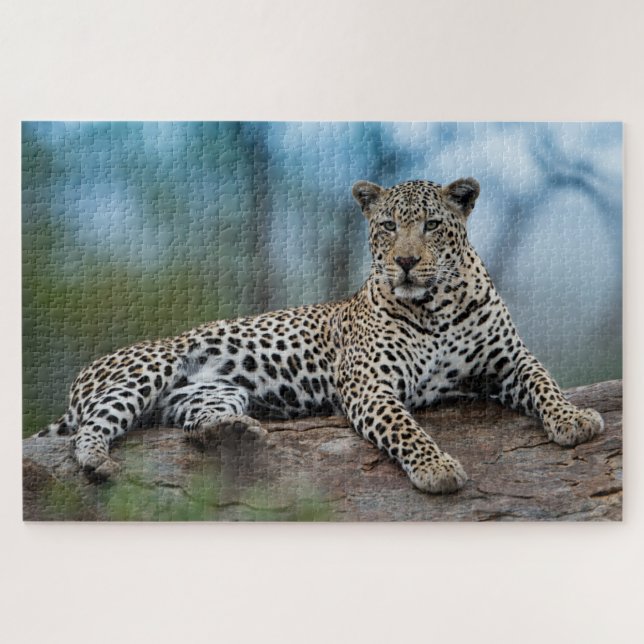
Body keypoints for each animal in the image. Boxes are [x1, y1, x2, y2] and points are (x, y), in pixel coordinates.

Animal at [37, 177, 604, 494]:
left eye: (432, 225)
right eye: (387, 226)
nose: (405, 261)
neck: (436, 307)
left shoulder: (509, 361)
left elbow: (545, 382)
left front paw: (575, 418)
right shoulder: (371, 385)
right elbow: (406, 428)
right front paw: (436, 467)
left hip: (208, 395)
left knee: (195, 425)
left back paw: (239, 436)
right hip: (149, 368)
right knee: (93, 429)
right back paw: (98, 462)